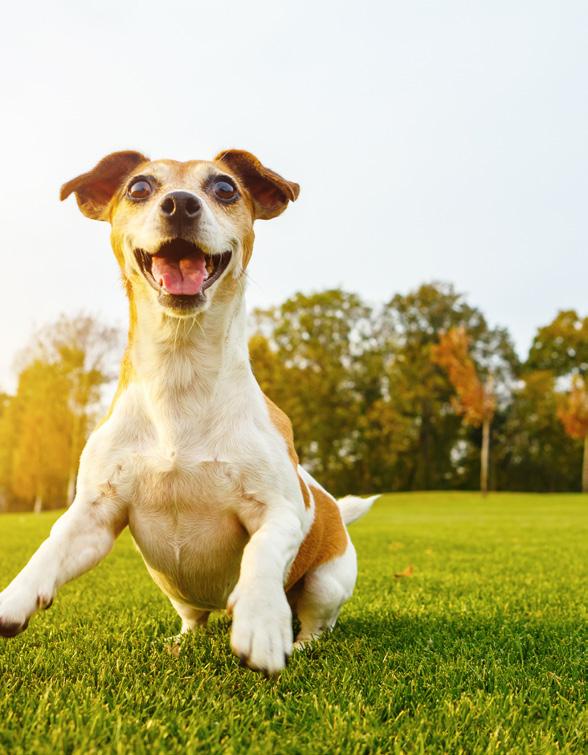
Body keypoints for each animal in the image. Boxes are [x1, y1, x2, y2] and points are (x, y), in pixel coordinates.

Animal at [0, 151, 376, 676]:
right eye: (139, 188)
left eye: (225, 188)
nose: (180, 203)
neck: (179, 374)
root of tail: (336, 510)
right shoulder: (93, 516)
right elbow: (49, 547)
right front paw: (13, 599)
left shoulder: (283, 510)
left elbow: (262, 552)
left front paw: (261, 621)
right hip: (173, 587)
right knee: (194, 618)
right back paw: (182, 640)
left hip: (327, 580)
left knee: (317, 623)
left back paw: (298, 642)